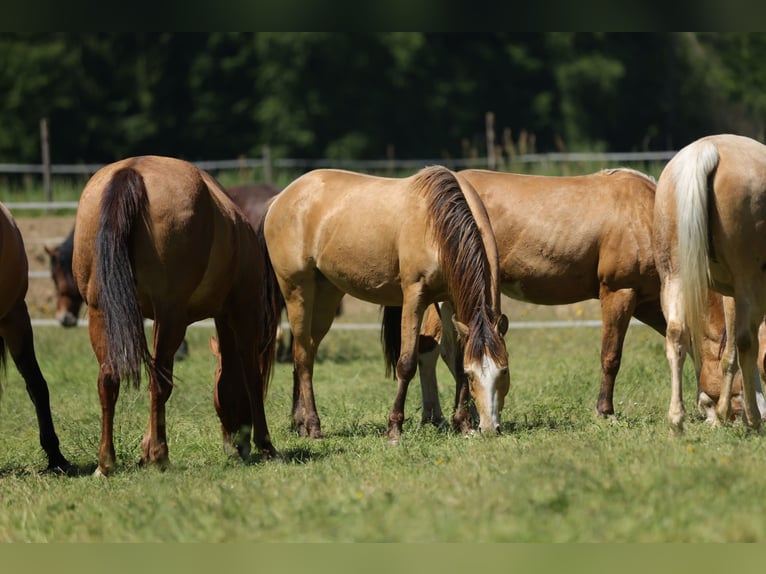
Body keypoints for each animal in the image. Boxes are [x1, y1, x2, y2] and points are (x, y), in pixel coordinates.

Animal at [71, 155, 282, 476]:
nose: (236, 447)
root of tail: (131, 171)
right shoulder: (243, 312)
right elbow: (252, 377)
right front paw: (266, 444)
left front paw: (144, 449)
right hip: (171, 316)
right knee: (160, 383)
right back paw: (161, 455)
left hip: (101, 311)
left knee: (108, 378)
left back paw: (105, 463)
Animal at [260, 165, 509, 441]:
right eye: (473, 375)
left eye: (504, 371)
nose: (490, 428)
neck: (437, 221)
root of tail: (281, 198)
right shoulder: (414, 296)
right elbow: (407, 363)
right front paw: (394, 428)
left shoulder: (451, 300)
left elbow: (457, 357)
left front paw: (463, 423)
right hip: (297, 291)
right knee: (303, 357)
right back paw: (313, 426)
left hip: (326, 295)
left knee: (306, 351)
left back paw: (300, 423)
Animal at [417, 167, 766, 427]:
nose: (756, 417)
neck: (648, 217)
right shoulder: (619, 292)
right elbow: (611, 356)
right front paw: (605, 412)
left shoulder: (649, 302)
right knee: (431, 348)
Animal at [653, 133, 766, 431]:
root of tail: (707, 150)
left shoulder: (730, 295)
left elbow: (728, 355)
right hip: (750, 284)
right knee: (747, 342)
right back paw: (753, 418)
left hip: (675, 278)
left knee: (677, 335)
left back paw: (677, 420)